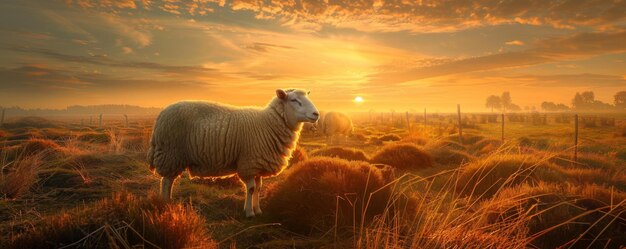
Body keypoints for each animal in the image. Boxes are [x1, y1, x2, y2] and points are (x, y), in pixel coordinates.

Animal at [148, 88, 320, 217]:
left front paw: (258, 210)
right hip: (171, 154)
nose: (316, 114)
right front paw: (249, 212)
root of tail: (161, 116)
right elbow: (251, 189)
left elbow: (258, 188)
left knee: (168, 181)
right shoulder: (248, 163)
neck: (268, 124)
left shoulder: (257, 164)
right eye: (294, 100)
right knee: (166, 182)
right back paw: (165, 203)